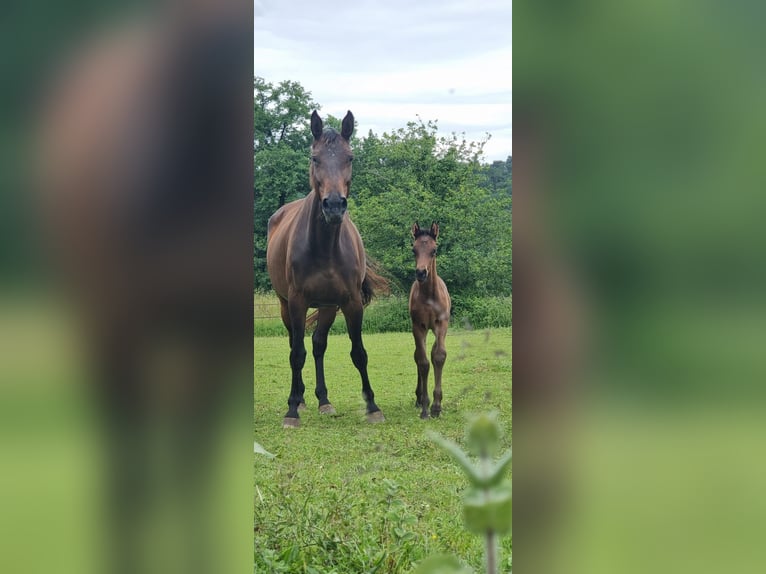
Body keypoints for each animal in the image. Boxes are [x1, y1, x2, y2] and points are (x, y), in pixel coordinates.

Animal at [268, 110, 390, 430]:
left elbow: (358, 352)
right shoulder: (297, 301)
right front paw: (292, 411)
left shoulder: (350, 302)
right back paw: (299, 399)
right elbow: (296, 354)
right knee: (295, 344)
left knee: (318, 344)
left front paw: (372, 407)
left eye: (350, 157)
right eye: (315, 158)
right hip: (286, 305)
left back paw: (323, 400)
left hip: (327, 307)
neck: (324, 247)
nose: (334, 205)